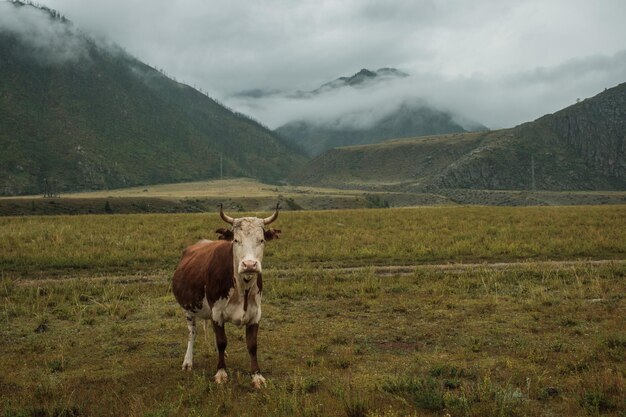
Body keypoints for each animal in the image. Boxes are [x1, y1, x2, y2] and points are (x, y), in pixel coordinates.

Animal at [169, 203, 280, 388]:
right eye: (236, 240)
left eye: (261, 240)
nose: (249, 265)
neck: (242, 287)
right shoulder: (217, 313)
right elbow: (222, 342)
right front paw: (221, 372)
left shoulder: (255, 314)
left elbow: (252, 345)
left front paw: (256, 375)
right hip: (188, 309)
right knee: (192, 333)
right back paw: (188, 361)